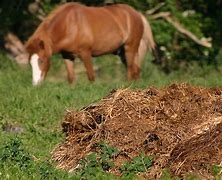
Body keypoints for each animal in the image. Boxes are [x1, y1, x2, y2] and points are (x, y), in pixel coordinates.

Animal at [25, 2, 155, 86]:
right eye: (30, 62)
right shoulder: (67, 56)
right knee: (136, 70)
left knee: (130, 70)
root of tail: (137, 14)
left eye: (41, 60)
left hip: (130, 48)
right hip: (123, 52)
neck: (69, 25)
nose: (35, 83)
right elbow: (71, 78)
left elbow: (91, 76)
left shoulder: (85, 53)